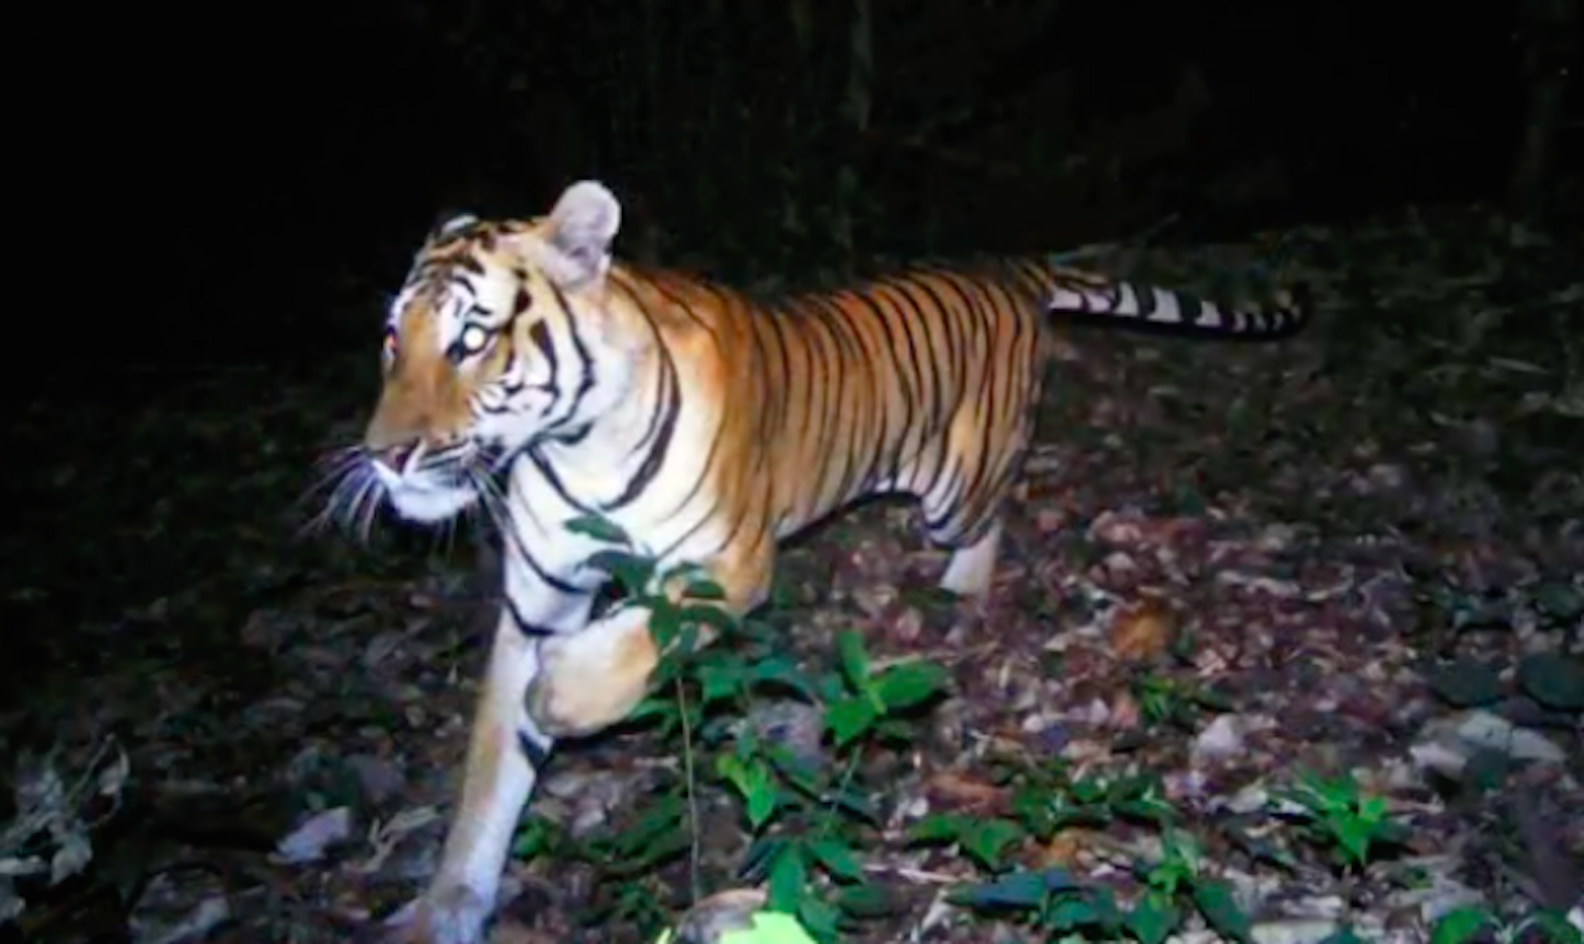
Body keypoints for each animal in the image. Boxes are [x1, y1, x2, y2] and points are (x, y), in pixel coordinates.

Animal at [334, 180, 1307, 943]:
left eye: (472, 339)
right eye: (390, 340)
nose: (385, 458)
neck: (569, 447)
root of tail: (1009, 271)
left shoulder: (729, 563)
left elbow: (623, 650)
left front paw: (561, 694)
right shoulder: (535, 601)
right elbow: (487, 779)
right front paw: (445, 908)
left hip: (960, 485)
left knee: (989, 524)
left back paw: (959, 595)